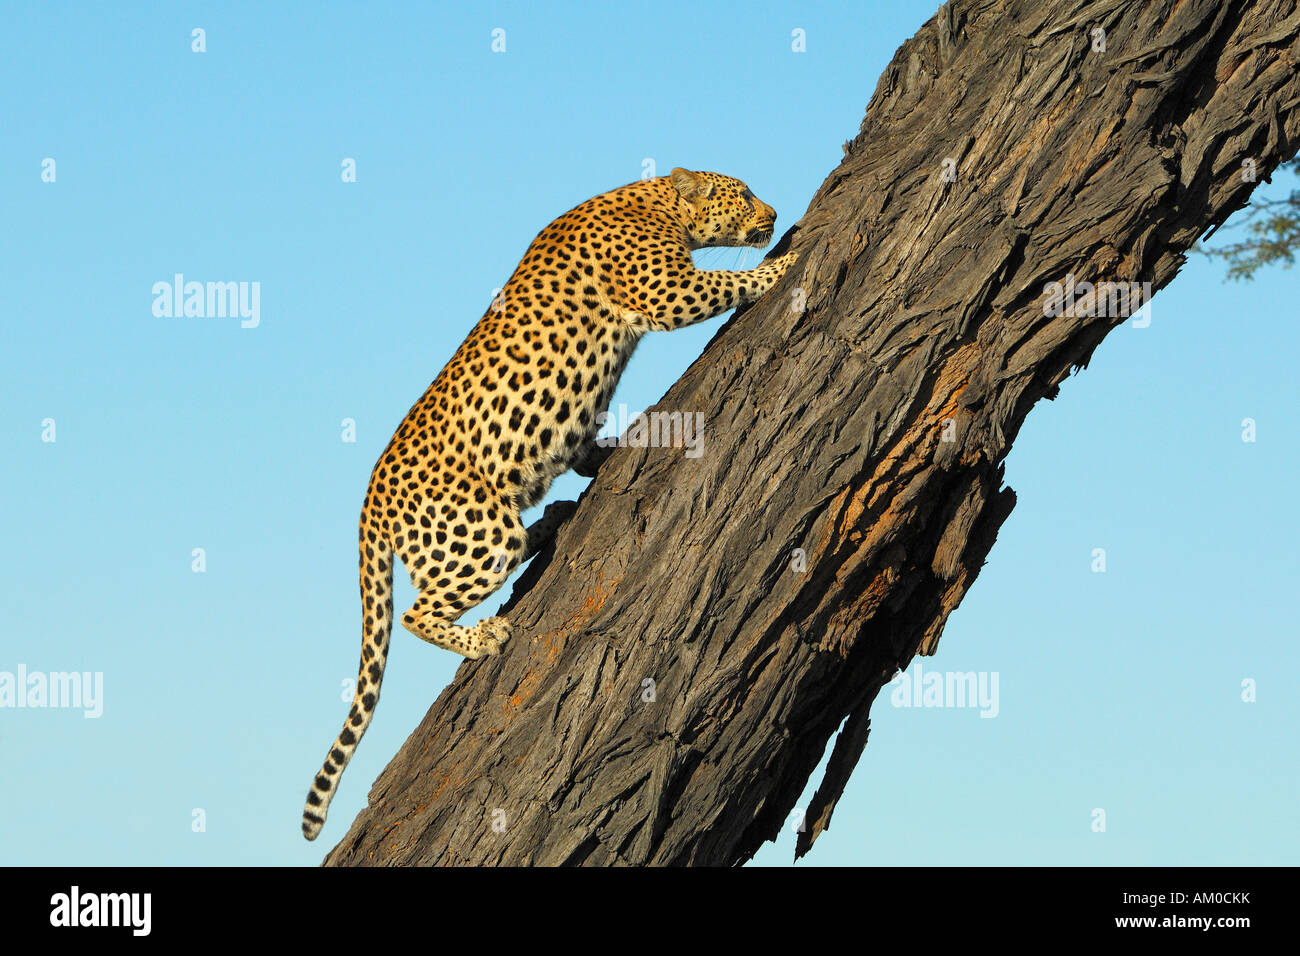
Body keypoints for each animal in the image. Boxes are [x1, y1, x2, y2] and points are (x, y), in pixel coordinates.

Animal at [301, 167, 800, 842]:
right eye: (742, 192)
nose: (772, 212)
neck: (656, 200)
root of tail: (369, 501)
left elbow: (585, 446)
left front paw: (613, 449)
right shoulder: (667, 289)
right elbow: (727, 280)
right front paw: (781, 266)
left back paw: (555, 519)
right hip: (478, 538)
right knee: (414, 613)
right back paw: (484, 635)